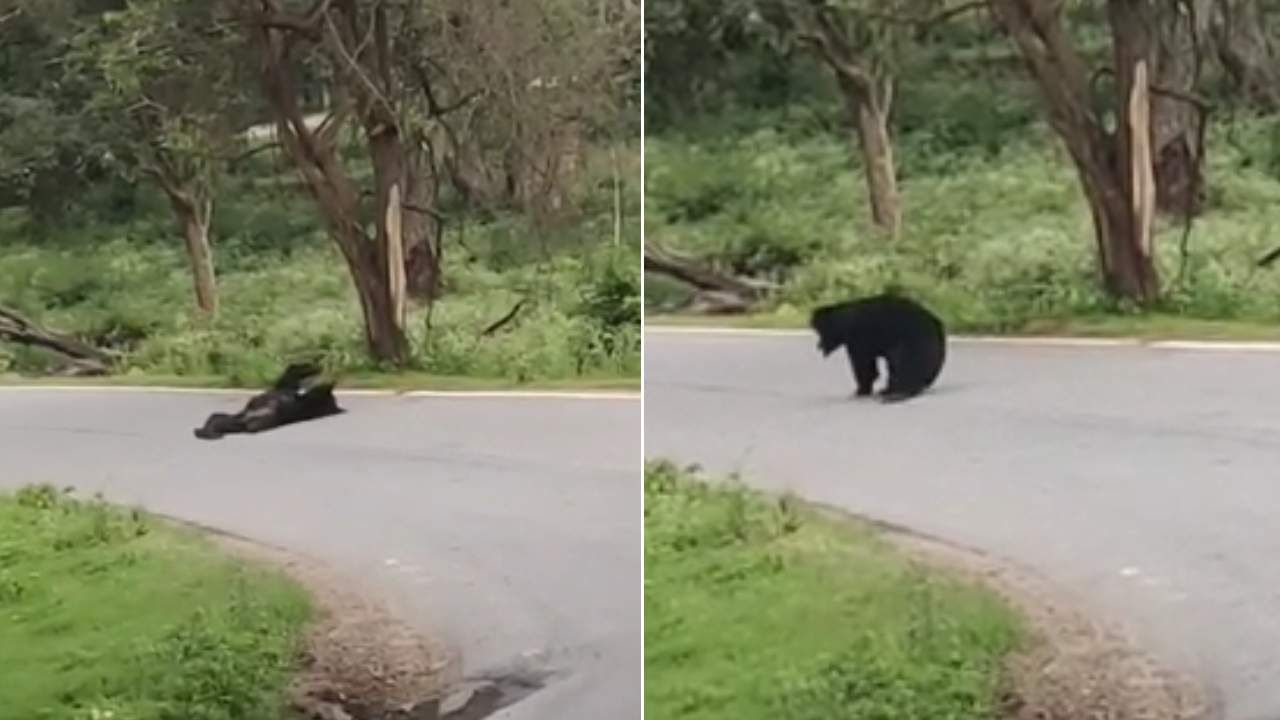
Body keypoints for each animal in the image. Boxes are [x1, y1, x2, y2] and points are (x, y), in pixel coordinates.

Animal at [192, 361, 343, 440]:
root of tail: (247, 418)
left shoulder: (311, 403)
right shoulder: (287, 388)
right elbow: (292, 372)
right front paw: (315, 367)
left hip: (262, 421)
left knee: (228, 422)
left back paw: (209, 432)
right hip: (236, 417)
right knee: (216, 417)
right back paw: (205, 430)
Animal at [814, 293, 947, 404]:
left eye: (820, 332)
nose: (818, 346)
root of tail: (937, 326)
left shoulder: (858, 339)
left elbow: (863, 366)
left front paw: (860, 391)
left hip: (916, 342)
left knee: (905, 364)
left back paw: (896, 394)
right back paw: (889, 390)